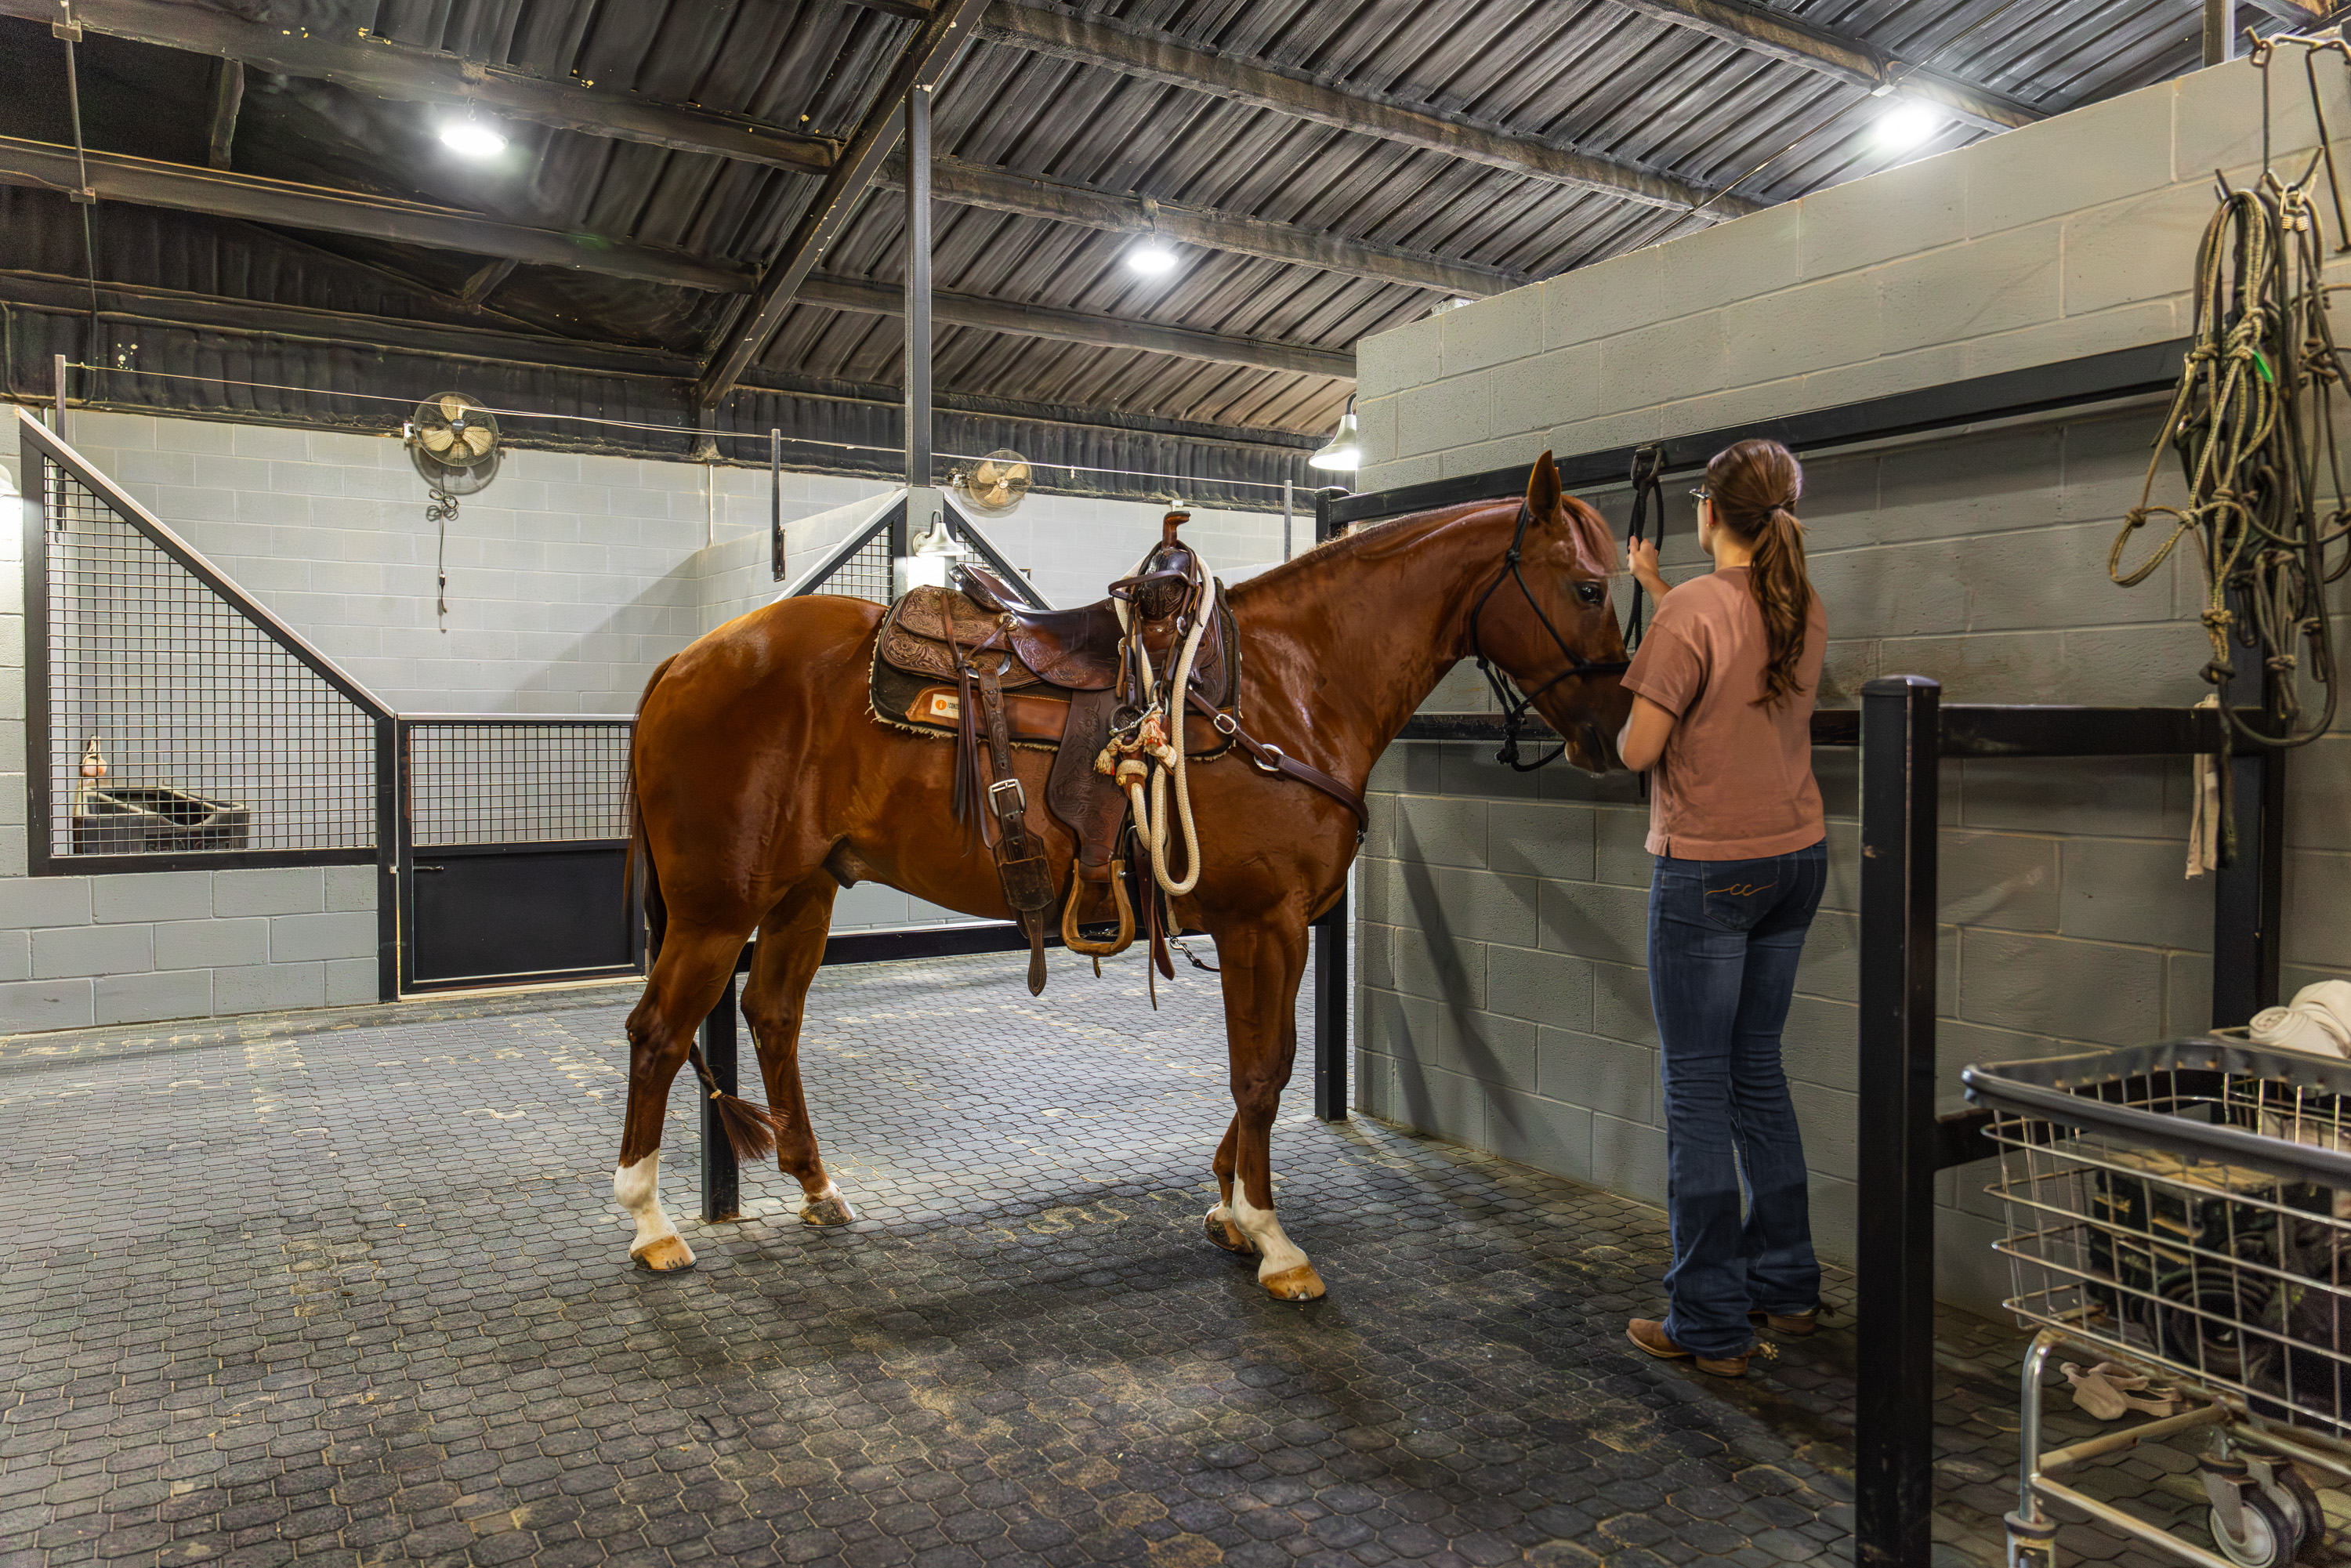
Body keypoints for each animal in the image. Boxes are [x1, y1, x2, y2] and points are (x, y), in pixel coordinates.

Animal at [613, 450, 1633, 1301]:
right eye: (1587, 586)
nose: (1617, 729)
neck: (1288, 686)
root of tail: (683, 662)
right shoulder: (1264, 921)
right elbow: (1263, 1071)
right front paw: (1273, 1238)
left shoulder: (1264, 926)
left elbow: (1262, 1068)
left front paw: (1228, 1205)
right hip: (716, 911)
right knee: (659, 1034)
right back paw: (652, 1225)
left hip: (804, 890)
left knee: (772, 1016)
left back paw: (818, 1188)